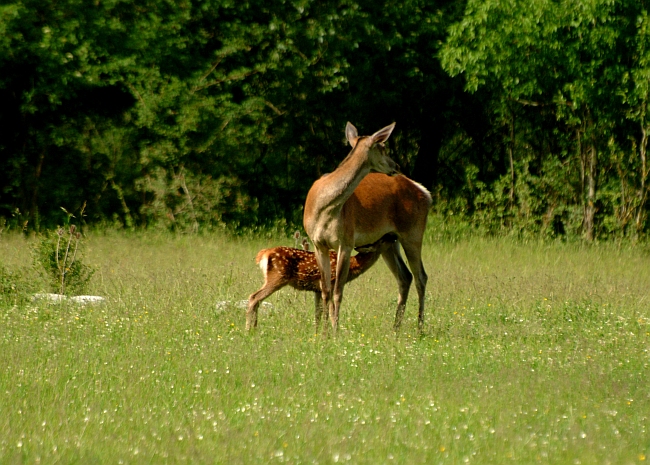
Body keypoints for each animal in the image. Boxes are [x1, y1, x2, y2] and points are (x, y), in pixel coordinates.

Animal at [244, 234, 392, 328]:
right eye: (382, 239)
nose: (394, 236)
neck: (352, 265)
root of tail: (264, 253)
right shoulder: (330, 283)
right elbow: (331, 312)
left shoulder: (317, 289)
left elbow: (318, 314)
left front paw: (316, 335)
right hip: (277, 277)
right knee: (254, 297)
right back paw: (248, 330)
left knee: (257, 300)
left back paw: (254, 328)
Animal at [302, 121, 430, 334]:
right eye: (383, 146)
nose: (396, 166)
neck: (324, 209)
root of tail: (425, 192)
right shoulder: (318, 243)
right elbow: (325, 290)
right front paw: (323, 332)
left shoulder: (346, 241)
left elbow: (338, 290)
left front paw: (335, 331)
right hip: (390, 240)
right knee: (405, 276)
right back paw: (395, 329)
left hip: (413, 232)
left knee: (421, 276)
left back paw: (419, 329)